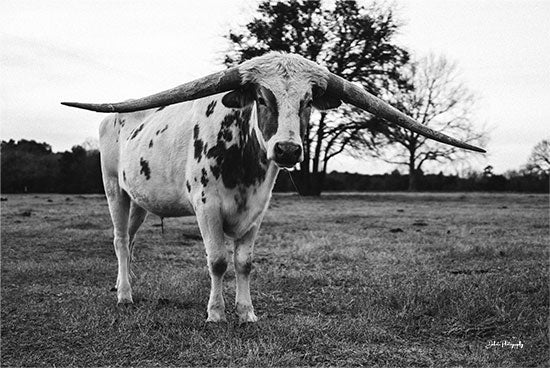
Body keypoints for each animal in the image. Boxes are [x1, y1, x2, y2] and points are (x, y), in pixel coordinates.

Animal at [61, 51, 484, 322]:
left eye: (308, 100)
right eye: (262, 97)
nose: (288, 149)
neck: (244, 166)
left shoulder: (256, 211)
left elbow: (244, 262)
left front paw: (247, 312)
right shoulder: (206, 207)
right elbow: (217, 261)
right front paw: (216, 313)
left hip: (140, 200)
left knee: (131, 241)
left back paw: (129, 286)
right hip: (114, 189)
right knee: (119, 240)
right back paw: (124, 295)